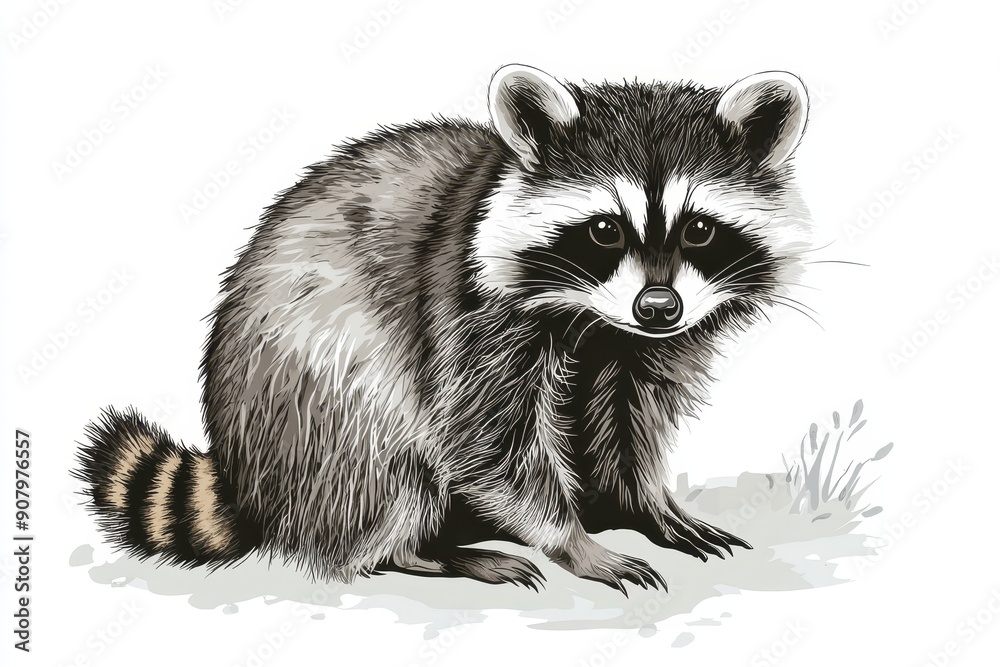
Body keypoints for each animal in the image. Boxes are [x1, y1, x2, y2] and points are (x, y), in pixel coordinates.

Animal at [76, 64, 812, 594]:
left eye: (699, 228)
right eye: (604, 228)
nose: (659, 307)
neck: (598, 319)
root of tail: (246, 475)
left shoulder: (646, 345)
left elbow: (631, 419)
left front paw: (643, 505)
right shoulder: (470, 307)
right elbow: (484, 439)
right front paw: (572, 539)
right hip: (313, 396)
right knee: (381, 456)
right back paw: (417, 550)